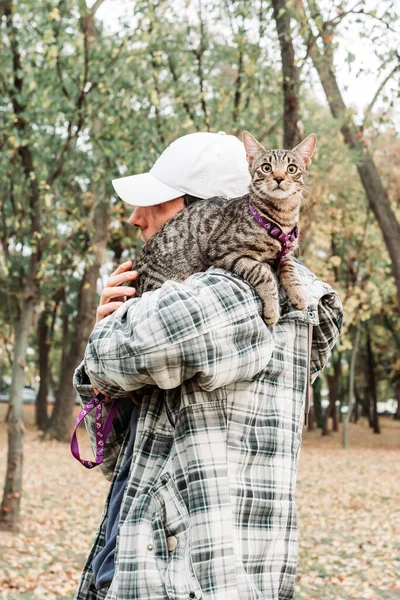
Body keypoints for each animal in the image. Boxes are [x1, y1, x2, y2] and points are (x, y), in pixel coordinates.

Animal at [130, 130, 318, 324]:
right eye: (266, 167)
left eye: (291, 168)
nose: (279, 178)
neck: (282, 218)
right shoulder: (225, 252)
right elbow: (262, 272)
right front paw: (272, 310)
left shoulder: (285, 254)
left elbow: (290, 267)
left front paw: (298, 293)